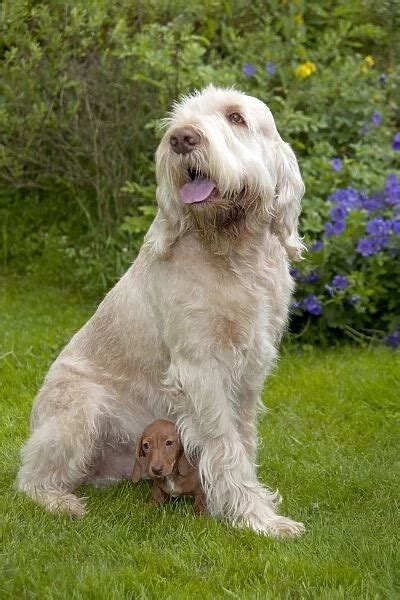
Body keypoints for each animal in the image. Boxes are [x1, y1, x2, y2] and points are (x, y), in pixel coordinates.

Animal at [16, 83, 306, 536]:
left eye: (236, 117)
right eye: (178, 119)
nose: (182, 139)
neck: (230, 253)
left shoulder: (250, 369)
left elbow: (242, 439)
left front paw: (253, 503)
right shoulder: (200, 368)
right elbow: (224, 444)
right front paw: (254, 517)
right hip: (80, 410)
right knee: (29, 477)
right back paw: (61, 502)